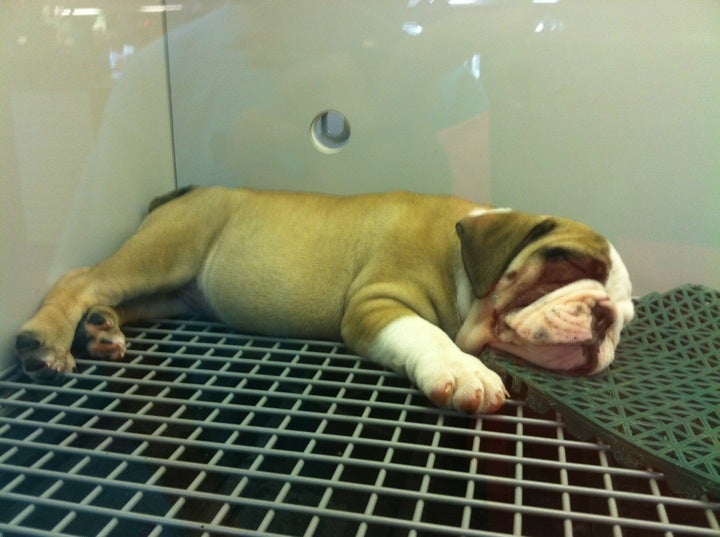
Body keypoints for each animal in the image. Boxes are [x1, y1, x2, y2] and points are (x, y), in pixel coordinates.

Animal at [15, 187, 634, 414]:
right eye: (572, 267)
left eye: (626, 321)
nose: (605, 317)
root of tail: (179, 195)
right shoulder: (376, 305)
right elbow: (431, 335)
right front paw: (465, 369)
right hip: (167, 251)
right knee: (80, 279)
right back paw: (45, 341)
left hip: (173, 293)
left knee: (109, 296)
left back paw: (101, 329)